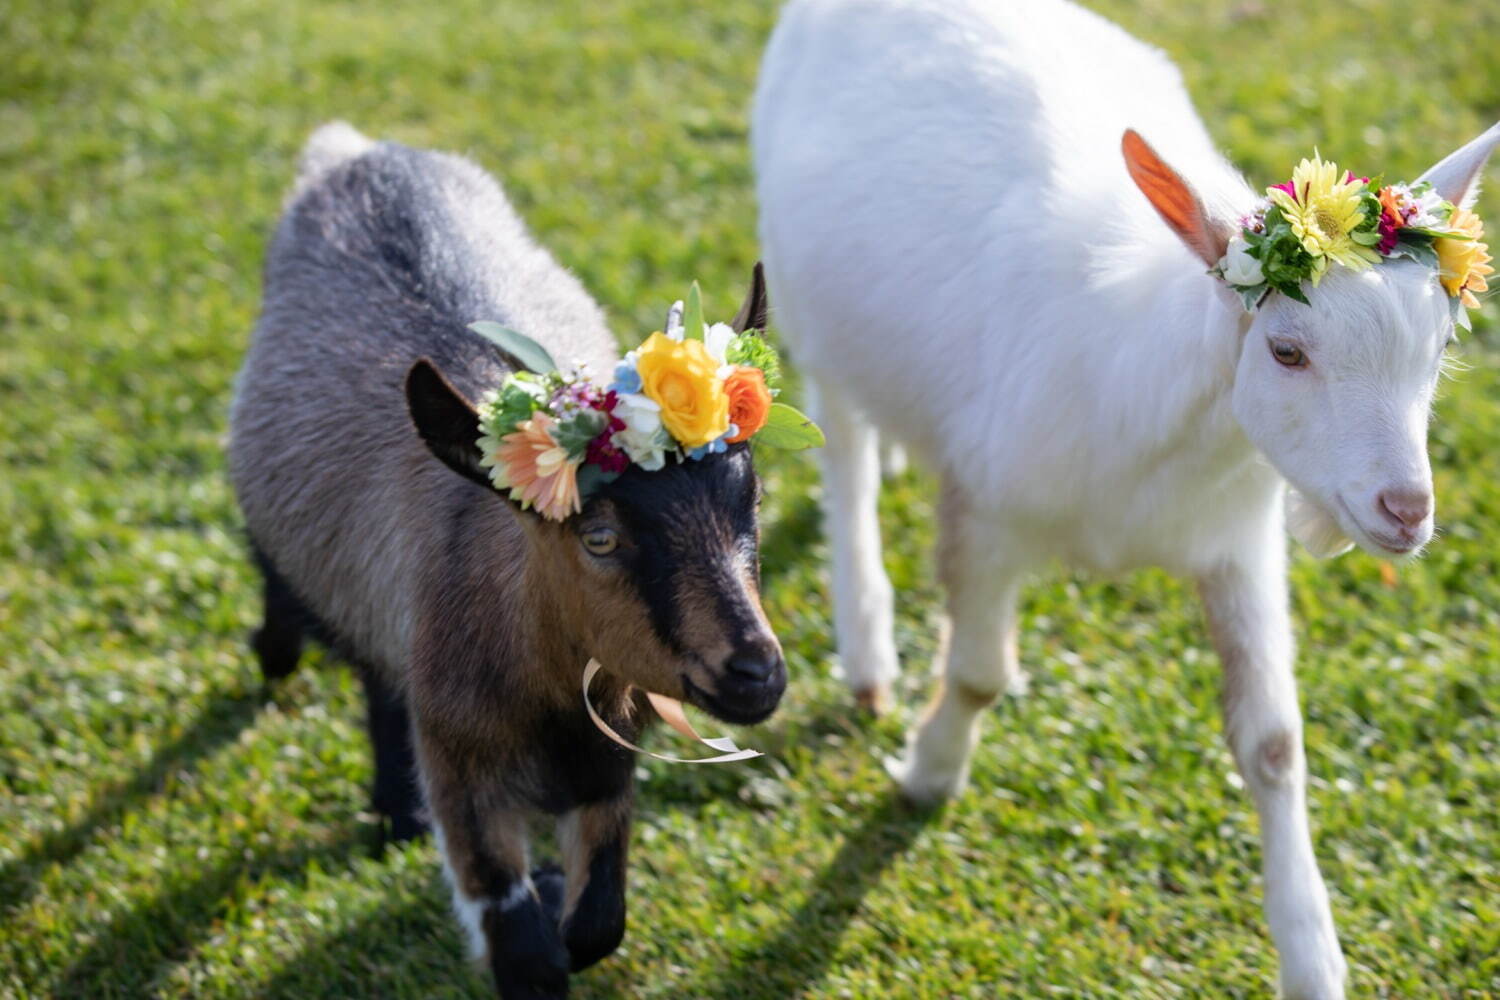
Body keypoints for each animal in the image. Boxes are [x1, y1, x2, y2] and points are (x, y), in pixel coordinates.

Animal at [226, 121, 786, 995]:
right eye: (598, 537)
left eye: (750, 498)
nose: (756, 672)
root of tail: (355, 152)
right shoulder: (465, 782)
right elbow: (525, 952)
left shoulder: (607, 770)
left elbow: (596, 924)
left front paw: (560, 893)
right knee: (294, 601)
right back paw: (284, 664)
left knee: (381, 675)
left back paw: (394, 808)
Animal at [756, 3, 1494, 995]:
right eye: (1286, 350)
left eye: (1442, 346)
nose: (1406, 509)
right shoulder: (987, 505)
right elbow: (979, 671)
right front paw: (928, 769)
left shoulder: (1237, 542)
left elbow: (1274, 744)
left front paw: (1312, 959)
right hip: (809, 302)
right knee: (843, 449)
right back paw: (867, 648)